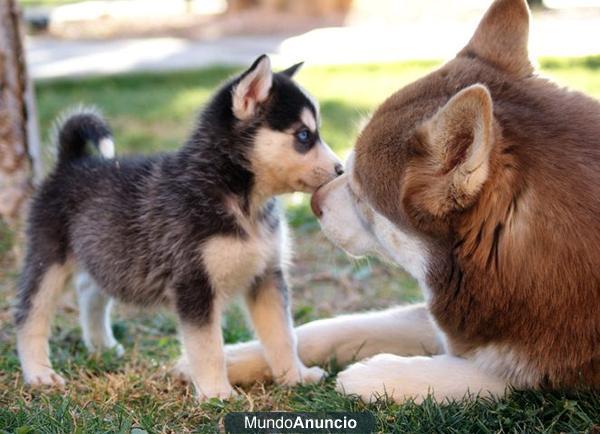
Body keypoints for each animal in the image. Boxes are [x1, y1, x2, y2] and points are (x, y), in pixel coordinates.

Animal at [15, 54, 342, 400]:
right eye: (304, 135)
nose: (341, 169)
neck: (240, 199)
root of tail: (72, 162)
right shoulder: (194, 284)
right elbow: (209, 347)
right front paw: (217, 395)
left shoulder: (266, 276)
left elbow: (283, 335)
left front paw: (295, 376)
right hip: (48, 258)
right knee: (28, 314)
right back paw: (39, 373)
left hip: (107, 252)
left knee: (89, 288)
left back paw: (102, 345)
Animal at [225, 0, 600, 402]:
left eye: (360, 192)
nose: (313, 204)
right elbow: (337, 326)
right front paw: (239, 356)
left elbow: (492, 376)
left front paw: (375, 376)